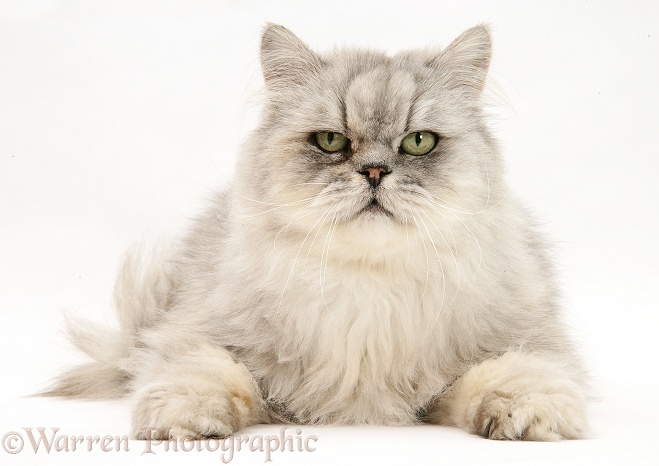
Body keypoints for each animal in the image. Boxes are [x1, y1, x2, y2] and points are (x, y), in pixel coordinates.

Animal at [45, 23, 588, 442]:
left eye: (418, 142)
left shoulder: (525, 340)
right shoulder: (196, 331)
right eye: (330, 141)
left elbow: (518, 373)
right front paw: (184, 419)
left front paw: (528, 415)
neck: (370, 289)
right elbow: (200, 371)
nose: (374, 172)